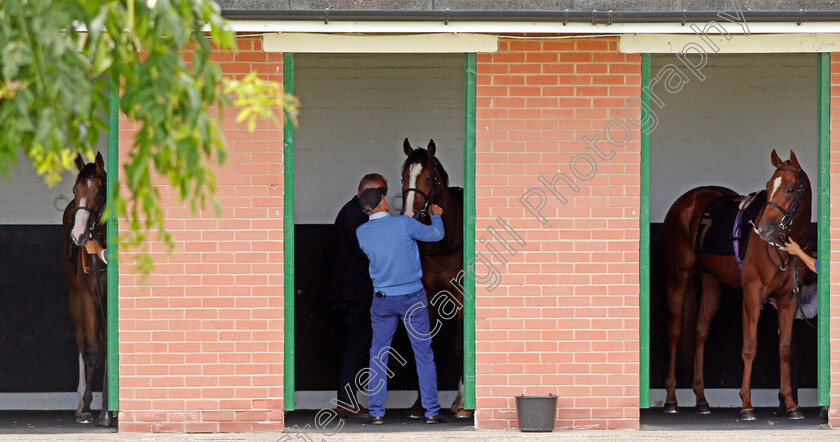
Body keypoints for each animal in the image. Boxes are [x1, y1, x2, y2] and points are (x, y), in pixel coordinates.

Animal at [398, 137, 470, 418]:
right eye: (403, 176)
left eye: (429, 177)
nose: (409, 215)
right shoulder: (426, 296)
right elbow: (424, 343)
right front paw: (421, 402)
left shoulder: (461, 298)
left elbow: (460, 344)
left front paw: (464, 404)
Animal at [664, 150, 812, 420]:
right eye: (768, 186)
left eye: (790, 189)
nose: (764, 230)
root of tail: (686, 201)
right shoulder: (752, 294)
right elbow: (749, 347)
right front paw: (746, 405)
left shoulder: (788, 299)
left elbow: (785, 348)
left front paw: (791, 404)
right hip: (678, 276)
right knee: (675, 331)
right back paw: (670, 399)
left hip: (710, 282)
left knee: (700, 333)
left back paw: (701, 399)